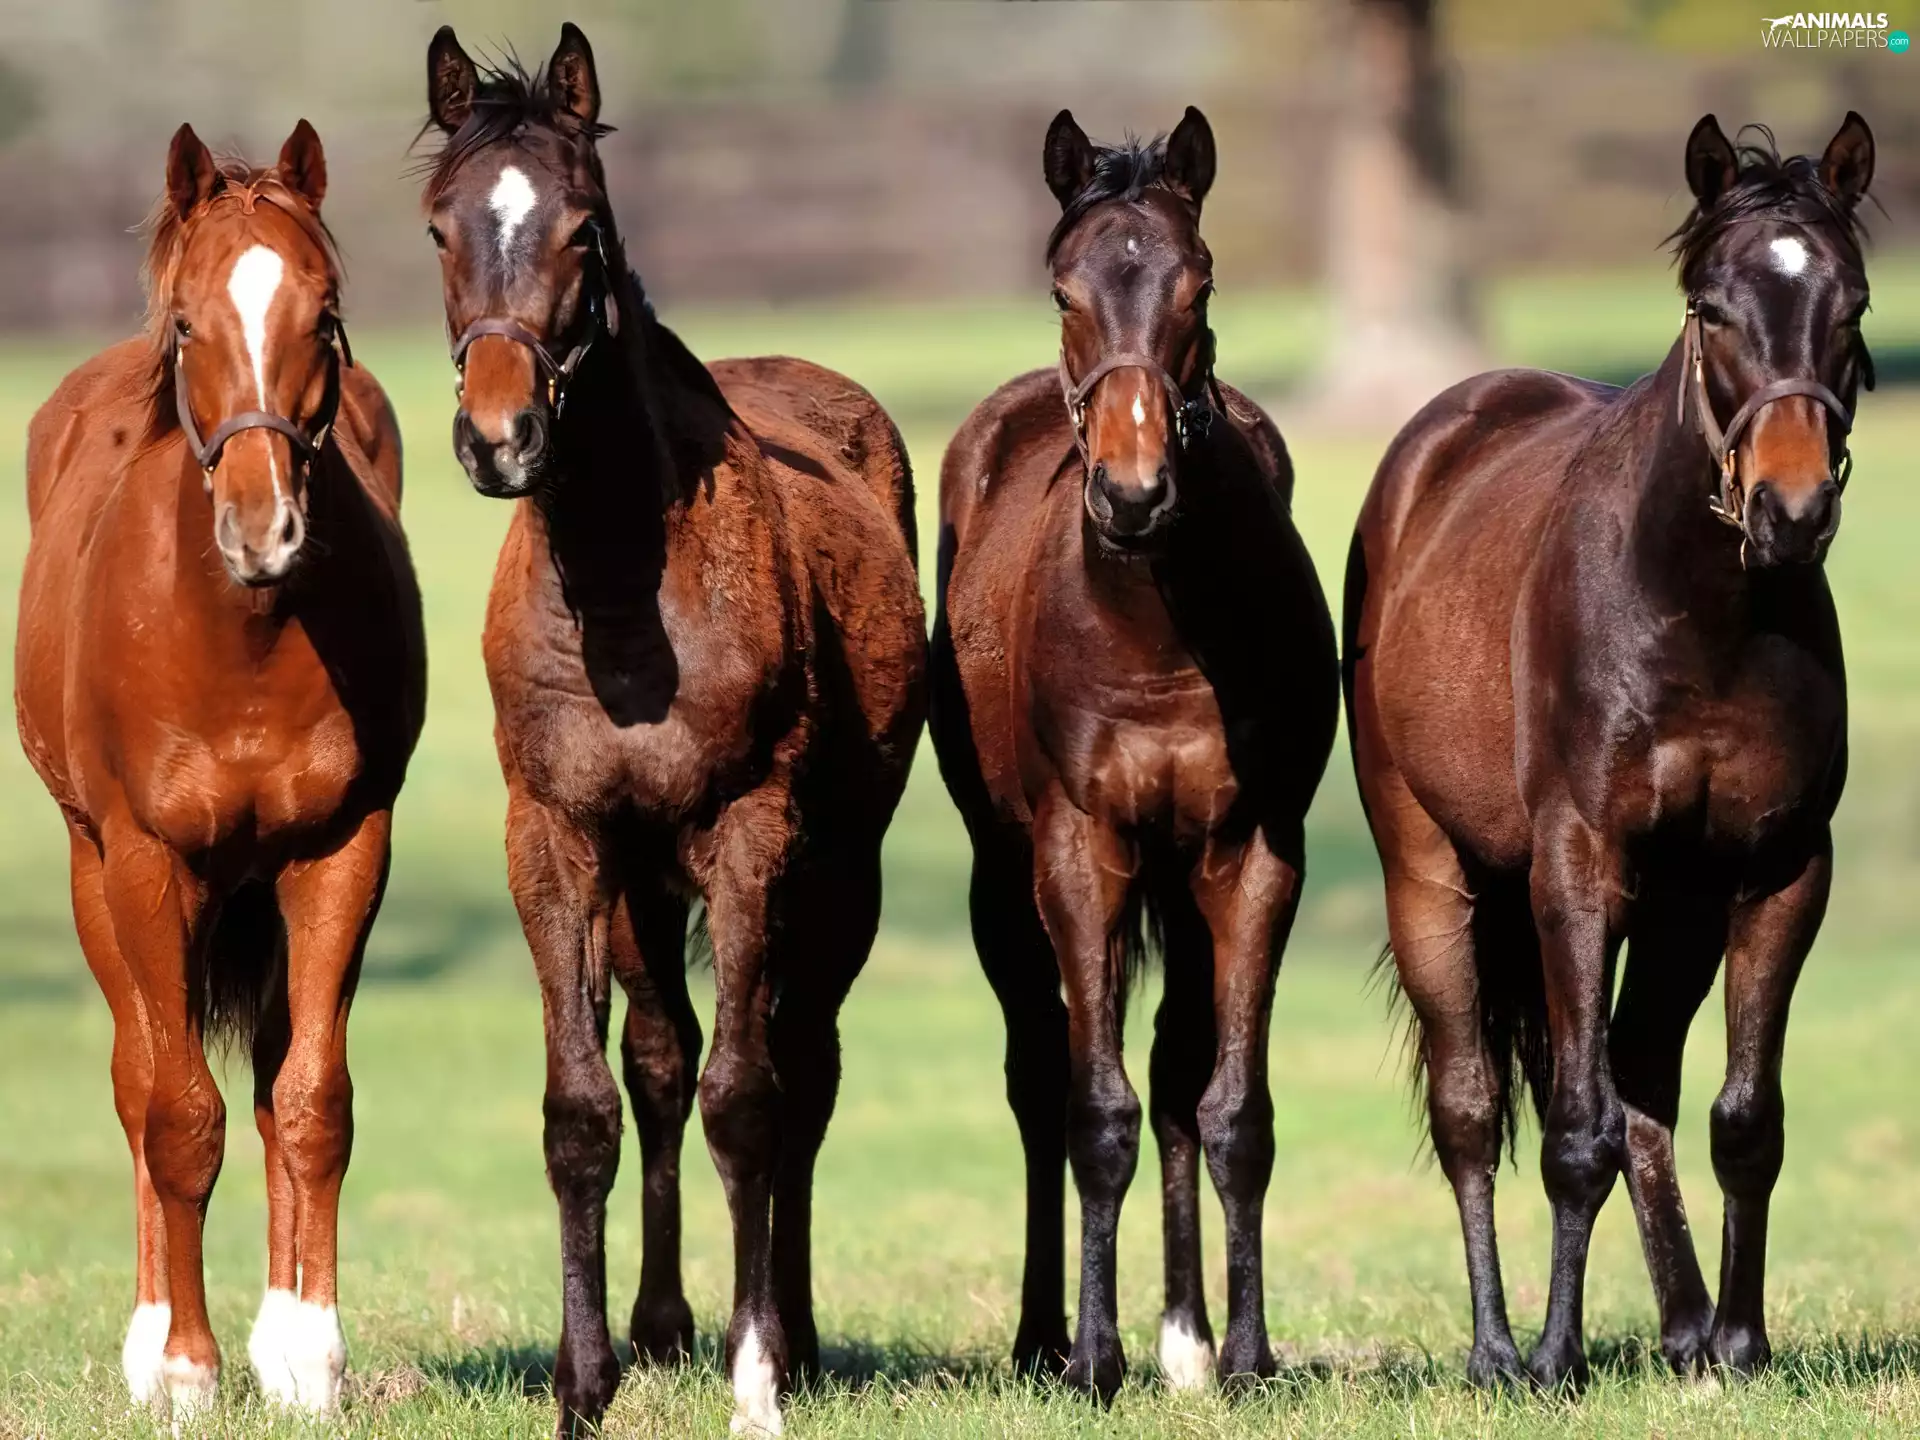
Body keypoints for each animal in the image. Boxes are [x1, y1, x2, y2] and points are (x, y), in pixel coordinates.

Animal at [14, 121, 425, 1417]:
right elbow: (175, 1113)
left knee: (272, 1081)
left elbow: (311, 1103)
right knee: (139, 1077)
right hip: (98, 877)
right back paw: (153, 1342)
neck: (239, 639)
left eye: (326, 315)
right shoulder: (148, 865)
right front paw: (188, 1369)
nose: (263, 528)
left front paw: (307, 1356)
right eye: (189, 324)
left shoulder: (343, 850)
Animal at [419, 26, 926, 1437]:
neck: (621, 598)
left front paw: (757, 1373)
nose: (500, 437)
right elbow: (584, 1108)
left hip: (839, 872)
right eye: (438, 228)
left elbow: (747, 1099)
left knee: (799, 1065)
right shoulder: (558, 840)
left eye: (583, 228)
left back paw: (789, 1336)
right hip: (642, 884)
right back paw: (658, 1328)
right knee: (658, 1057)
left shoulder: (753, 834)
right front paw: (583, 1382)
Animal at [930, 108, 1339, 1399]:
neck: (1157, 623)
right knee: (1040, 1075)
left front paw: (1244, 1353)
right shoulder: (1080, 851)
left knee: (1174, 1077)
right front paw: (1093, 1359)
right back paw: (1042, 1335)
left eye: (1197, 284)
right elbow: (1091, 1110)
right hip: (1000, 878)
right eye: (1064, 289)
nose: (1132, 490)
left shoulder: (1252, 853)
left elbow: (1231, 1109)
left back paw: (1187, 1337)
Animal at [1344, 113, 1875, 1388]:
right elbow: (1569, 1130)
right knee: (1473, 1106)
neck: (1703, 614)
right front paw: (1554, 1357)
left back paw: (1685, 1329)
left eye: (1853, 307)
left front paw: (1740, 1343)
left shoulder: (1780, 871)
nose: (1791, 512)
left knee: (1642, 1085)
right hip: (1431, 874)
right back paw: (1496, 1349)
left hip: (1678, 909)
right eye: (1711, 310)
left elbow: (1743, 1118)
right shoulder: (1579, 869)